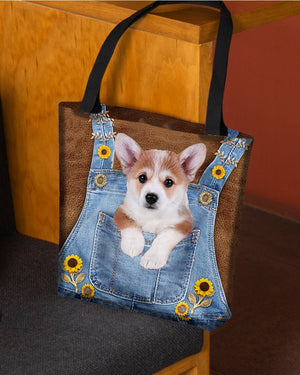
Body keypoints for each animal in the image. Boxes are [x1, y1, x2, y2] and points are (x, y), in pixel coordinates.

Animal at [112, 134, 206, 268]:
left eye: (169, 182)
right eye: (142, 177)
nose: (151, 197)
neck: (153, 215)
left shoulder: (184, 223)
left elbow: (165, 237)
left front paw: (153, 257)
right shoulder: (121, 212)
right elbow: (130, 224)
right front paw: (133, 245)